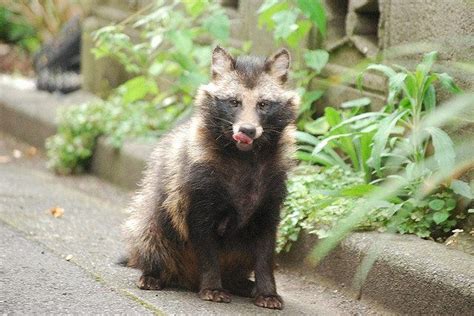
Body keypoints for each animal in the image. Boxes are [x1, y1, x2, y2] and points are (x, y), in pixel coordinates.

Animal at [124, 45, 298, 310]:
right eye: (234, 102)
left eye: (263, 104)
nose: (247, 131)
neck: (245, 156)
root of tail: (186, 278)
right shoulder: (198, 192)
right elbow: (205, 245)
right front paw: (212, 286)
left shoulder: (271, 195)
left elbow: (266, 248)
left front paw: (267, 289)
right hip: (153, 220)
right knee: (150, 229)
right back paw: (154, 273)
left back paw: (239, 282)